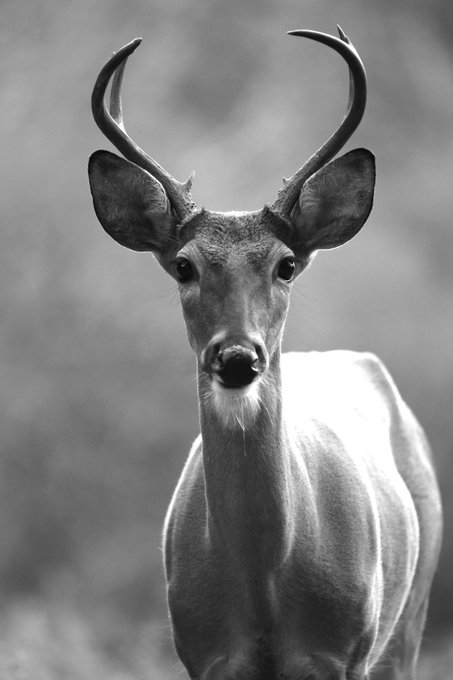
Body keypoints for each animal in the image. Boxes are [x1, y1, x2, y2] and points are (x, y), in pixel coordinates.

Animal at [88, 27, 442, 680]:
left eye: (286, 264)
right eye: (184, 265)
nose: (237, 357)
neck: (264, 585)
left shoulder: (344, 653)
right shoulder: (203, 655)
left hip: (409, 618)